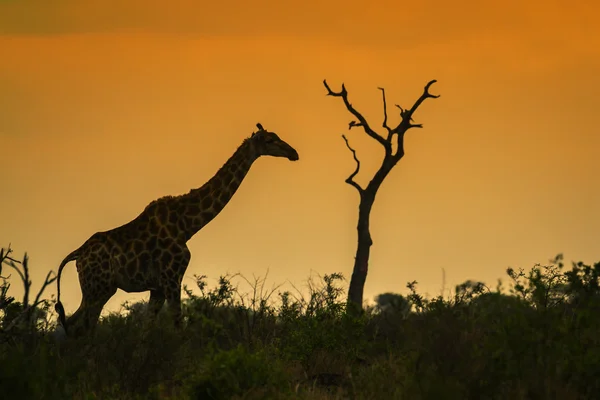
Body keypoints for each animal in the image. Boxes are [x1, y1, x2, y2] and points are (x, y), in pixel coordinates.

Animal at [55, 123, 298, 336]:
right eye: (269, 140)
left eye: (277, 136)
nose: (293, 153)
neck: (186, 225)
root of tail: (78, 254)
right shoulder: (172, 278)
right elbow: (178, 329)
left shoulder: (157, 287)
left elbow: (145, 333)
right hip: (100, 288)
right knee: (82, 328)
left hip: (95, 289)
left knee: (71, 323)